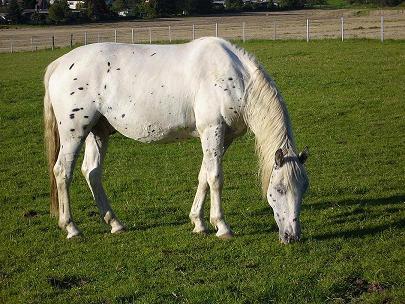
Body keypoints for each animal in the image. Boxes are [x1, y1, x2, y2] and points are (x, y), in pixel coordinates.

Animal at [44, 36, 308, 243]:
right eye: (280, 189)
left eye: (304, 188)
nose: (292, 236)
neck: (234, 78)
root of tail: (59, 64)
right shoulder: (212, 130)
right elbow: (215, 178)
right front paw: (222, 226)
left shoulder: (223, 138)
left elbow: (204, 176)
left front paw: (198, 223)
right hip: (74, 132)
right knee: (62, 172)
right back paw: (71, 228)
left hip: (97, 132)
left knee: (92, 172)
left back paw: (115, 223)